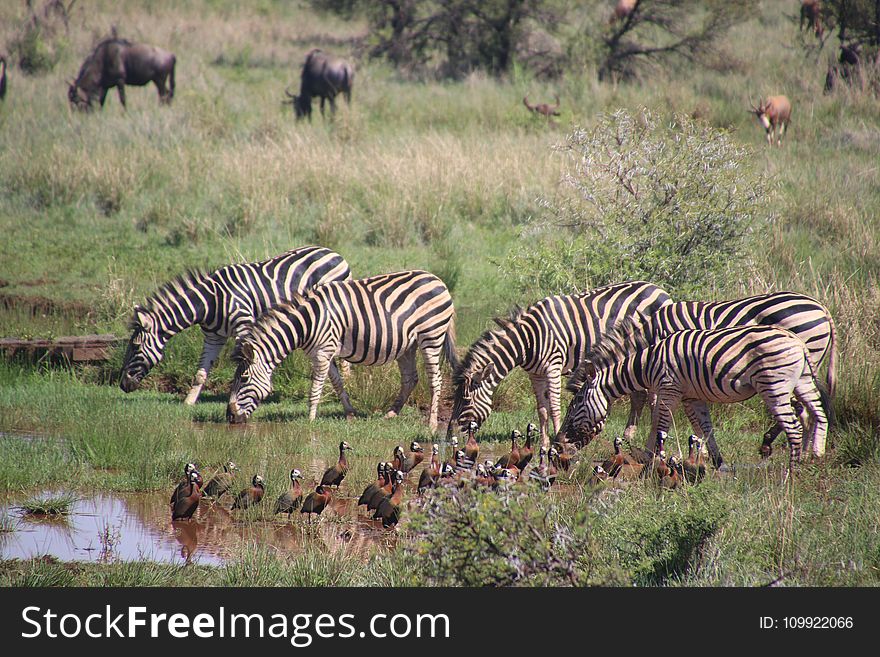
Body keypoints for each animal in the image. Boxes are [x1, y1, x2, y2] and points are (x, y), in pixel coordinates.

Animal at [119, 245, 350, 402]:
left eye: (136, 346)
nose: (122, 385)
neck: (210, 302)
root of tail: (334, 253)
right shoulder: (213, 336)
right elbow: (200, 374)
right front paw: (188, 402)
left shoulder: (243, 326)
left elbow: (244, 362)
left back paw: (349, 381)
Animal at [227, 270, 458, 430]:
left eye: (245, 378)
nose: (230, 417)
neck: (307, 323)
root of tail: (438, 280)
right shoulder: (323, 352)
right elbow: (337, 383)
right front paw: (350, 413)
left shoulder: (322, 353)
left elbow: (316, 388)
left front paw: (310, 419)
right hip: (408, 345)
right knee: (410, 378)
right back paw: (392, 413)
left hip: (431, 335)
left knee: (435, 379)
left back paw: (432, 423)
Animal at [450, 280, 672, 448]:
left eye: (467, 402)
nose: (450, 438)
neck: (528, 340)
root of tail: (659, 289)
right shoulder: (535, 374)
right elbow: (542, 410)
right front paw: (544, 442)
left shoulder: (553, 367)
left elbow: (555, 407)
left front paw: (556, 439)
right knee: (639, 395)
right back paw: (628, 436)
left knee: (653, 398)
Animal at [560, 316, 828, 468]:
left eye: (577, 403)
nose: (559, 441)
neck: (647, 363)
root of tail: (797, 341)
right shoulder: (691, 396)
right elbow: (705, 429)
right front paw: (716, 462)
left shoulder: (669, 389)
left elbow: (660, 425)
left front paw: (653, 459)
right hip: (802, 382)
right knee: (817, 413)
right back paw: (815, 455)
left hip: (774, 384)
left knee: (794, 427)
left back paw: (791, 471)